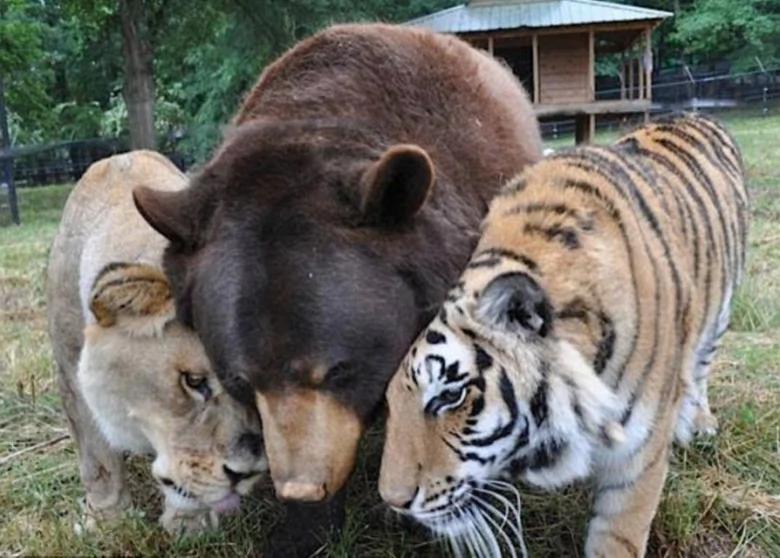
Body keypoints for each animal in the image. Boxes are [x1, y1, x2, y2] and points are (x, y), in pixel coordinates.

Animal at [379, 113, 748, 557]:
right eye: (389, 403)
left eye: (450, 396)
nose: (393, 501)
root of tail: (694, 114)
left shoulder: (636, 461)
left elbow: (617, 538)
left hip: (721, 312)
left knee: (701, 365)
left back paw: (700, 422)